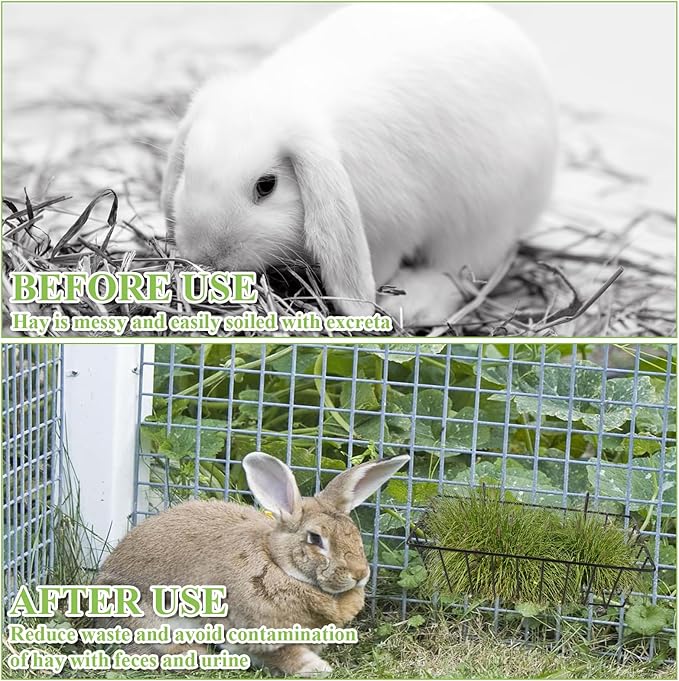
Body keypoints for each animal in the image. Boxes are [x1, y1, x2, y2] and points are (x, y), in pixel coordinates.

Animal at [95, 452, 410, 675]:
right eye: (315, 538)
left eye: (353, 532)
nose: (359, 573)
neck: (279, 565)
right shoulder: (246, 630)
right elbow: (281, 653)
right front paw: (315, 668)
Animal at [162, 3, 558, 327]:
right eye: (188, 172)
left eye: (266, 185)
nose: (207, 256)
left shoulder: (391, 229)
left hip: (483, 217)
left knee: (459, 271)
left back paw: (413, 304)